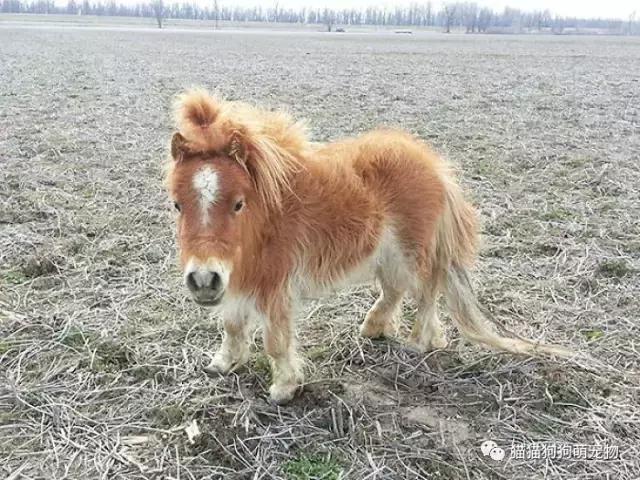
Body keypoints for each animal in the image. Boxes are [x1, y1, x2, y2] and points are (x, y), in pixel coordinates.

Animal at [164, 89, 572, 404]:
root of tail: (434, 165)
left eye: (238, 203)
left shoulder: (274, 285)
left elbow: (276, 340)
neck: (267, 216)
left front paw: (283, 389)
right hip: (388, 253)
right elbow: (232, 326)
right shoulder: (238, 281)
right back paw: (374, 329)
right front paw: (222, 363)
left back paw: (418, 343)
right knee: (395, 290)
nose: (203, 280)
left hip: (413, 251)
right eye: (177, 204)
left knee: (426, 292)